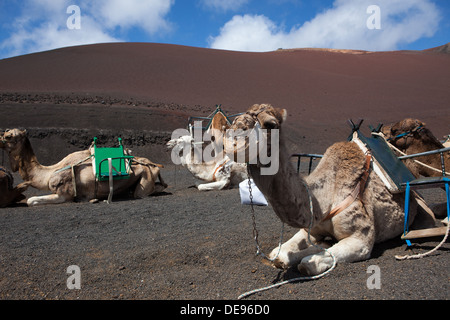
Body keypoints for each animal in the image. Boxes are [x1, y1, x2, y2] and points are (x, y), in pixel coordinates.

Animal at [1, 129, 167, 206]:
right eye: (4, 133)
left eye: (8, 136)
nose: (0, 141)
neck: (50, 172)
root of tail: (153, 164)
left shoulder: (64, 195)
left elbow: (31, 200)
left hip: (145, 179)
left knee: (144, 192)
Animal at [223, 104, 430, 276]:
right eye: (234, 120)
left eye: (270, 123)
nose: (231, 143)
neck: (325, 200)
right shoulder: (312, 227)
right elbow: (280, 254)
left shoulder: (361, 240)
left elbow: (309, 263)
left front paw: (312, 253)